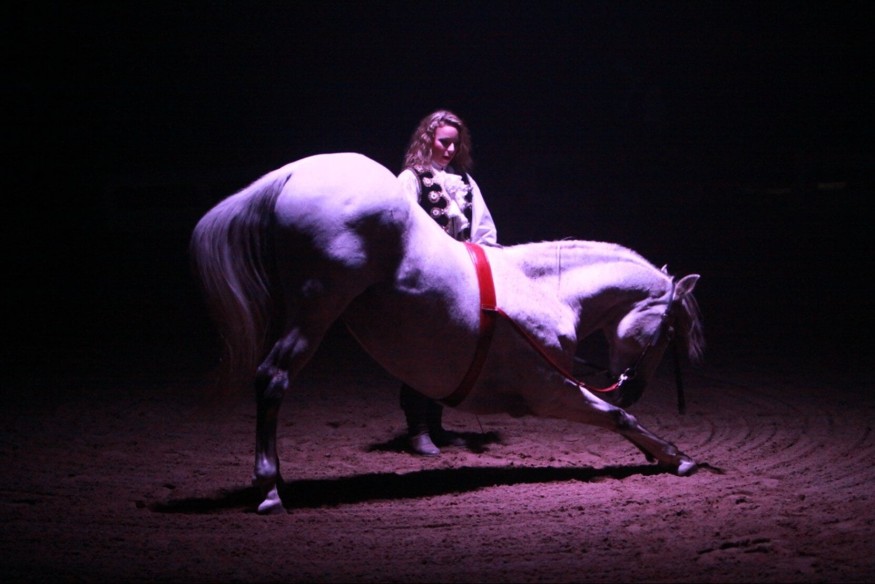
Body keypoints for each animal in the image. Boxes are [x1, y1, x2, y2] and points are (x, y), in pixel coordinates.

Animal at [190, 152, 705, 514]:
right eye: (668, 332)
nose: (633, 388)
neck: (545, 290)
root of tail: (295, 172)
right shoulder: (548, 389)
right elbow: (616, 417)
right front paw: (675, 456)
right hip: (314, 310)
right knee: (273, 378)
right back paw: (270, 489)